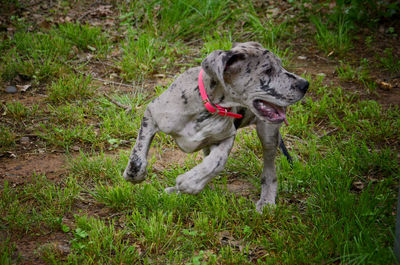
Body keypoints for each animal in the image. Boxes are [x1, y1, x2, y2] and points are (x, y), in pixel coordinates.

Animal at [123, 41, 308, 211]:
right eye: (268, 70)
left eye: (281, 65)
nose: (305, 84)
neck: (207, 105)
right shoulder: (152, 113)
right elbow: (139, 149)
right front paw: (134, 174)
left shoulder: (227, 136)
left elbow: (217, 161)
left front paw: (190, 182)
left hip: (268, 132)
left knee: (269, 169)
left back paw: (267, 200)